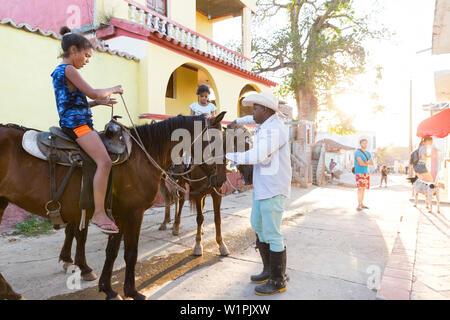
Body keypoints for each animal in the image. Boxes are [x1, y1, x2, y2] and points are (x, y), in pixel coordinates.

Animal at [0, 112, 225, 300]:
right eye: (214, 143)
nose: (221, 180)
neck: (141, 157)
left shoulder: (118, 215)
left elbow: (112, 251)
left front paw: (107, 289)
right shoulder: (133, 213)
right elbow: (130, 252)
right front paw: (132, 291)